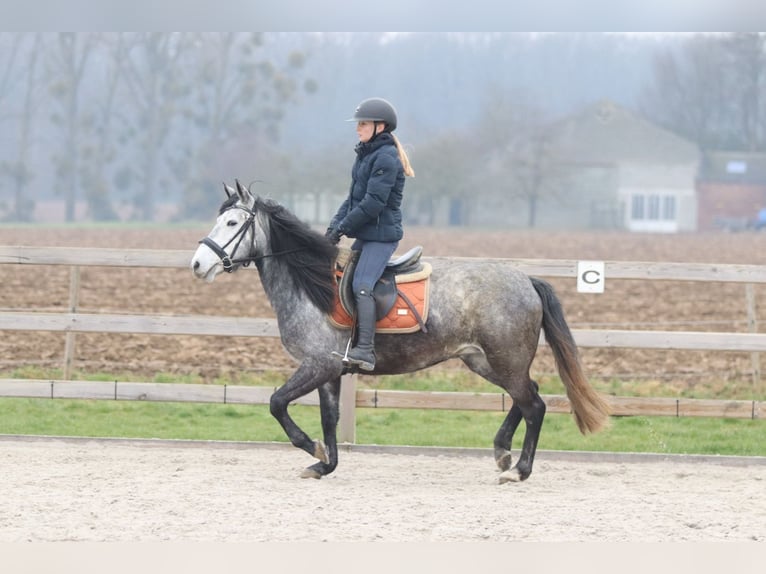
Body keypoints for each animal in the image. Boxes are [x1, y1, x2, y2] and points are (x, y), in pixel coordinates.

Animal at [191, 181, 610, 483]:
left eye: (232, 224)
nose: (197, 264)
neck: (313, 287)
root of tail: (526, 280)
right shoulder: (330, 371)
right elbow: (329, 419)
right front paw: (325, 463)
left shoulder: (318, 366)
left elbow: (277, 403)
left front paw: (312, 449)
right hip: (485, 361)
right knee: (527, 397)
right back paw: (502, 452)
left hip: (505, 359)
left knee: (534, 405)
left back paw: (519, 470)